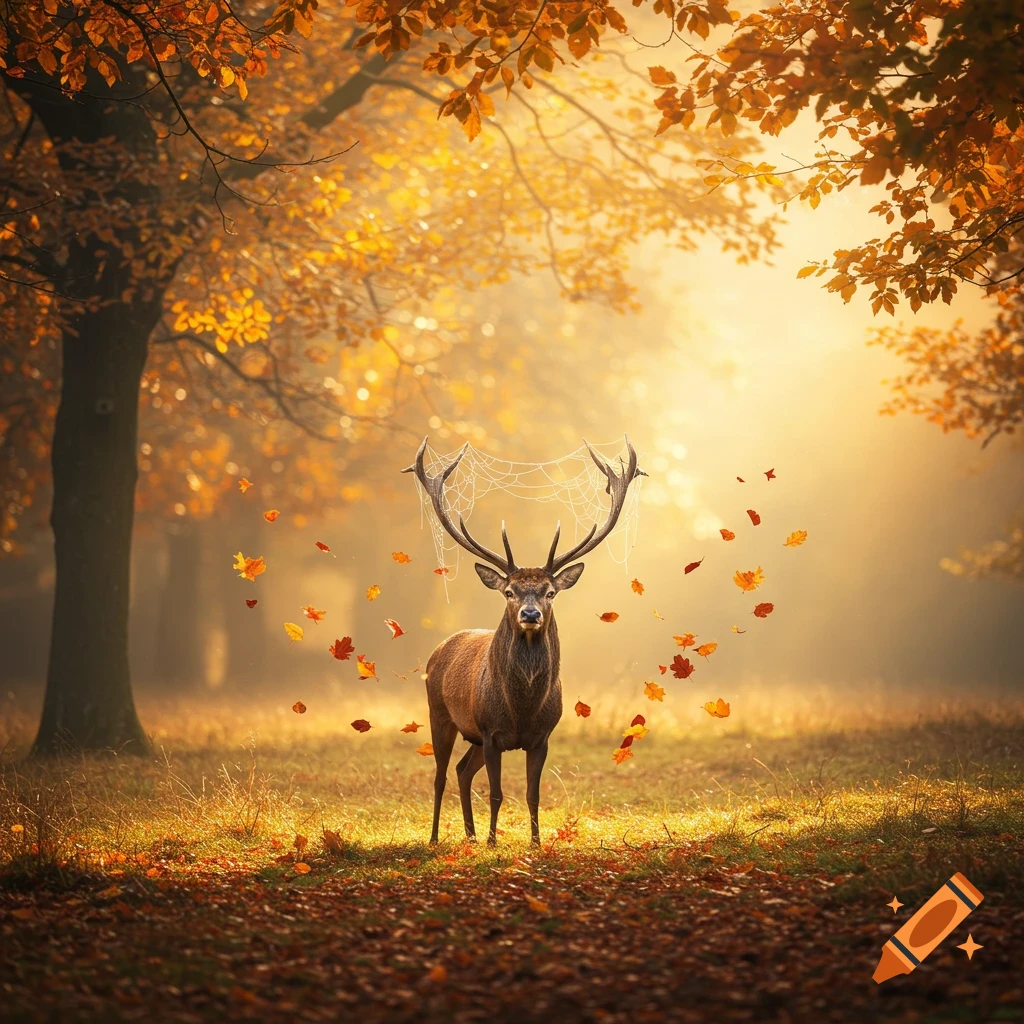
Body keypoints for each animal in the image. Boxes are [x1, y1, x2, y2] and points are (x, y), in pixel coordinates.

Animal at [403, 436, 643, 846]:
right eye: (509, 592)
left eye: (550, 592)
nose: (530, 615)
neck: (522, 708)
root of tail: (439, 649)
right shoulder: (490, 730)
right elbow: (497, 792)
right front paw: (493, 841)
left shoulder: (541, 736)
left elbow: (533, 793)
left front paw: (534, 842)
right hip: (441, 714)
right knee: (439, 776)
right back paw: (437, 838)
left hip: (473, 738)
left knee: (462, 770)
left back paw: (469, 835)